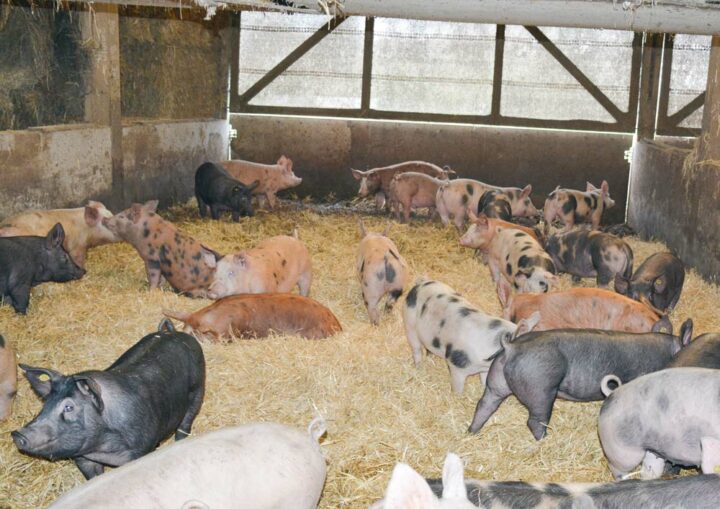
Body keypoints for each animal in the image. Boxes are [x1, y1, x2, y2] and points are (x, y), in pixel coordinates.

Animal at [11, 320, 205, 478]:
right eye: (45, 404)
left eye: (69, 407)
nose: (17, 434)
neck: (101, 447)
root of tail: (174, 332)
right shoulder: (83, 459)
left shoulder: (140, 450)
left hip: (198, 390)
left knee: (185, 424)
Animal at [466, 314, 692, 436]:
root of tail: (511, 347)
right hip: (541, 387)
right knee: (535, 420)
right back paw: (545, 440)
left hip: (496, 380)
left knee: (484, 405)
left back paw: (471, 432)